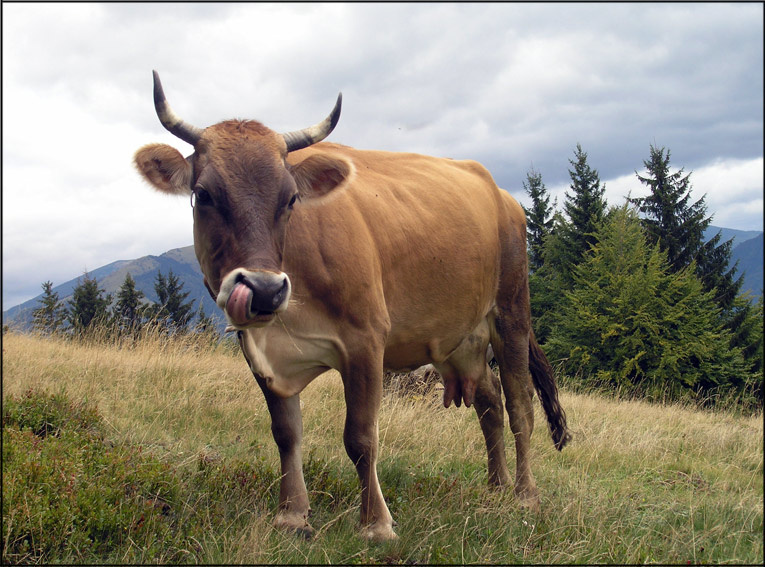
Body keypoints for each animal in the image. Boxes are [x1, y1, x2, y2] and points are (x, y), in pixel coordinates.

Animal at [134, 71, 570, 541]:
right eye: (203, 194)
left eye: (290, 198)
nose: (265, 290)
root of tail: (500, 192)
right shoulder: (259, 351)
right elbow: (286, 432)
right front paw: (292, 514)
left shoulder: (365, 340)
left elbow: (360, 437)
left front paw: (376, 523)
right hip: (459, 339)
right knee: (490, 402)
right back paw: (496, 486)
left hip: (511, 312)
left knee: (520, 404)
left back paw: (525, 494)